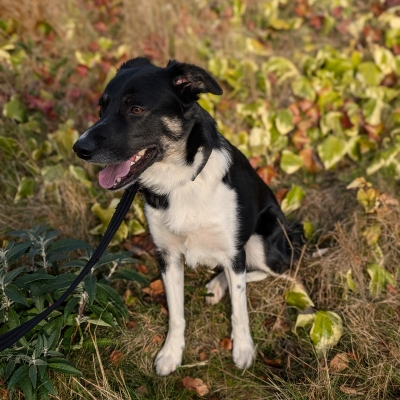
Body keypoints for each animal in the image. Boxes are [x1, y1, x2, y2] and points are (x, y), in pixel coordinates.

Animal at [73, 56, 302, 376]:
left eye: (136, 109)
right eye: (101, 108)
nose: (79, 148)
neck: (181, 181)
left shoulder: (234, 251)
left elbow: (240, 309)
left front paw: (243, 349)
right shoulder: (167, 255)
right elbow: (176, 312)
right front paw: (171, 354)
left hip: (263, 241)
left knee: (270, 270)